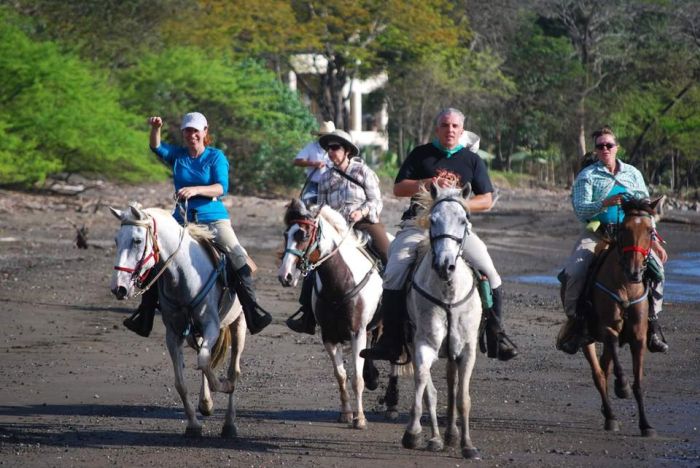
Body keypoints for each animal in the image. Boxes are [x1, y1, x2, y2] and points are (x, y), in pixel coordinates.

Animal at [106, 205, 243, 438]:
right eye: (116, 239)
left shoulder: (211, 326)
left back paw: (229, 423)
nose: (119, 288)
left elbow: (205, 361)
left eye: (137, 240)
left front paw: (223, 386)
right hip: (195, 336)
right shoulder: (174, 335)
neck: (183, 275)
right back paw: (206, 403)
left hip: (237, 325)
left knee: (233, 369)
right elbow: (181, 382)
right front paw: (193, 425)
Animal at [278, 199, 396, 430]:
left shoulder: (357, 333)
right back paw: (374, 379)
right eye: (286, 234)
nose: (285, 276)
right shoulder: (330, 336)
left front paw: (360, 419)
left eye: (304, 234)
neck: (341, 282)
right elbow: (341, 375)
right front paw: (346, 415)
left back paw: (392, 406)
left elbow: (356, 378)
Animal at [402, 185, 484, 458]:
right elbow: (423, 386)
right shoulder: (424, 343)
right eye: (434, 220)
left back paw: (452, 435)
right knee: (433, 389)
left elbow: (463, 398)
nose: (444, 266)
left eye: (463, 220)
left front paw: (468, 445)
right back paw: (437, 438)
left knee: (451, 384)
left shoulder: (467, 349)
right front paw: (413, 433)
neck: (448, 293)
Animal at [584, 196, 660, 436]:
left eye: (650, 231)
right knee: (598, 375)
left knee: (604, 367)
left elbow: (639, 382)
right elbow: (618, 369)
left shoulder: (639, 336)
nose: (635, 272)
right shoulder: (609, 328)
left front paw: (646, 425)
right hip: (587, 339)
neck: (626, 286)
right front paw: (623, 386)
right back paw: (610, 417)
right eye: (624, 229)